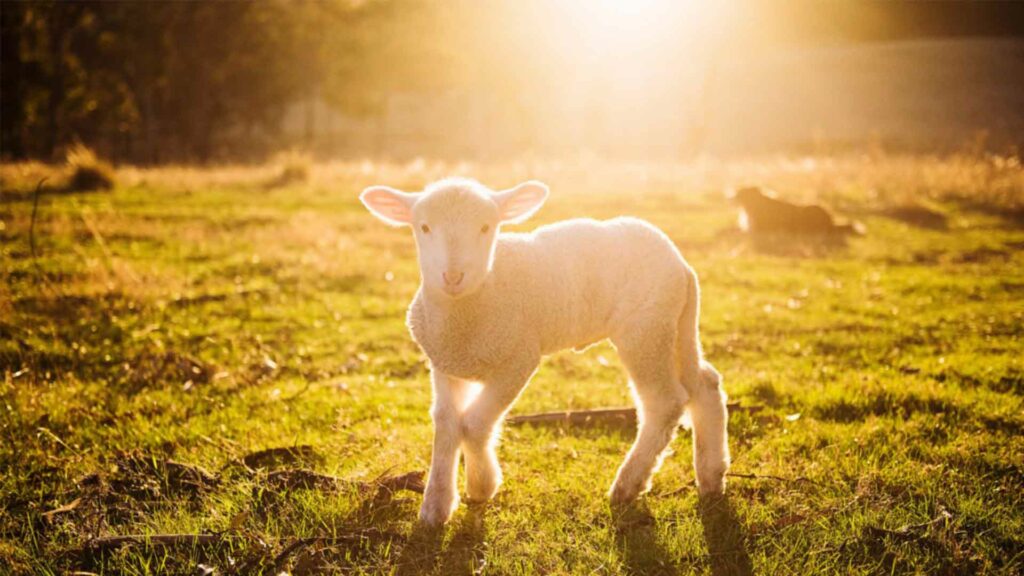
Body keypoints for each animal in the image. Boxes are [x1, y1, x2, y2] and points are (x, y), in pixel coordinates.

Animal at [360, 177, 729, 526]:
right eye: (423, 227)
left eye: (486, 227)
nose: (452, 276)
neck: (472, 305)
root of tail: (681, 264)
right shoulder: (445, 364)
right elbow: (446, 423)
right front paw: (436, 506)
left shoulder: (519, 359)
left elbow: (474, 424)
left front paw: (481, 485)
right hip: (676, 325)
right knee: (705, 384)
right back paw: (712, 476)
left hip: (645, 330)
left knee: (664, 402)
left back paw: (628, 484)